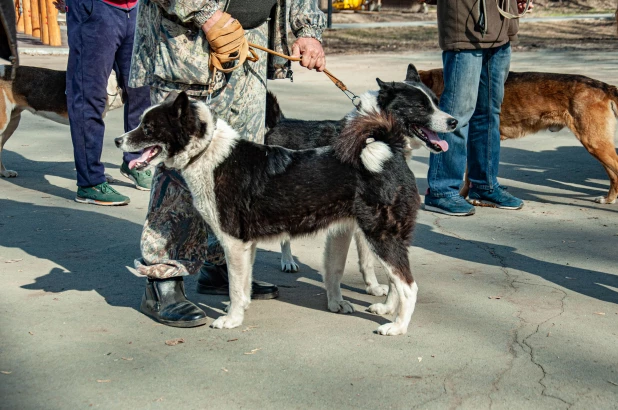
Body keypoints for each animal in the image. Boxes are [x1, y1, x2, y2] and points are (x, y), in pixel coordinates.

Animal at [114, 87, 452, 336]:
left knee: (408, 286)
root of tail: (389, 149)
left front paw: (231, 320)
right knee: (398, 280)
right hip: (381, 236)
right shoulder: (244, 245)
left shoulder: (234, 243)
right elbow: (243, 287)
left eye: (148, 127)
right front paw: (240, 312)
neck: (209, 152)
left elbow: (236, 289)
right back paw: (384, 311)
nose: (118, 139)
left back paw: (397, 327)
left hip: (379, 235)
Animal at [416, 69, 616, 205]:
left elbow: (467, 178)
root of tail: (605, 86)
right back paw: (609, 198)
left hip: (595, 144)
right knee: (614, 175)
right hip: (599, 146)